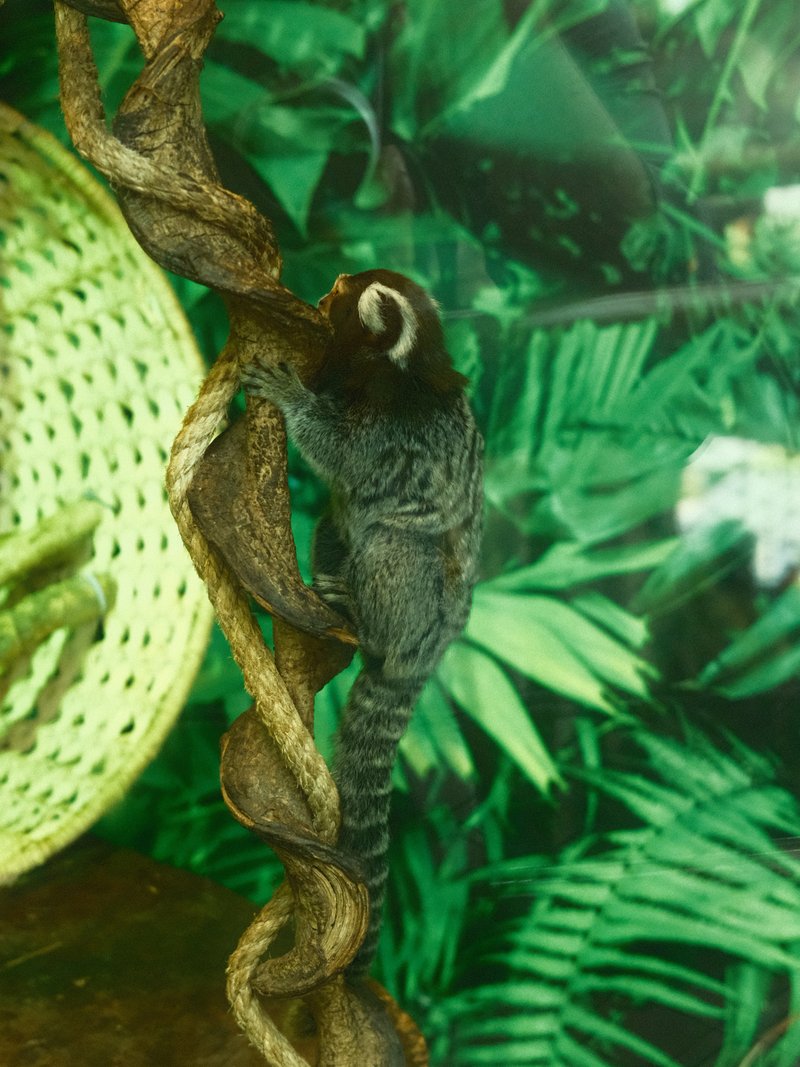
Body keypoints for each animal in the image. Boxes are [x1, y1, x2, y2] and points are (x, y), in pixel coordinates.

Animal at [240, 269, 483, 977]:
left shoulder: (392, 429)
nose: (325, 293)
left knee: (391, 543)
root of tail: (426, 654)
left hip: (415, 612)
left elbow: (342, 455)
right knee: (335, 520)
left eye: (341, 293)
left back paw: (356, 613)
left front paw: (290, 396)